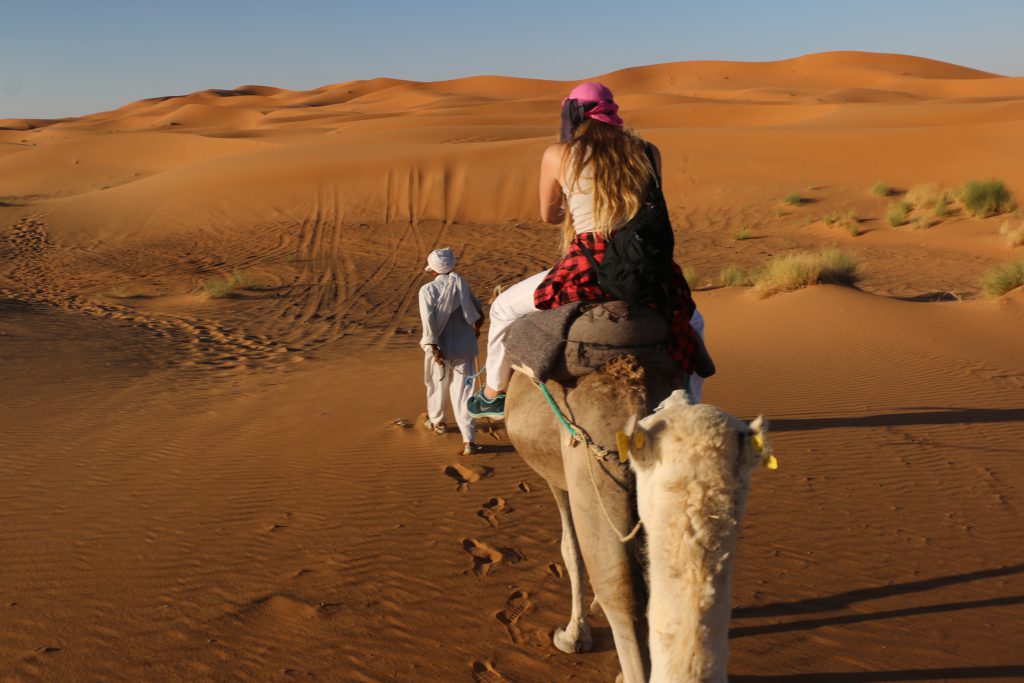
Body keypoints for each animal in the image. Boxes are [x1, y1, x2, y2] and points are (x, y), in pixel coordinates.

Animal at [505, 356, 773, 683]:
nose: (675, 394)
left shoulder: (556, 478)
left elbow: (570, 550)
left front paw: (573, 637)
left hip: (587, 468)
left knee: (617, 588)